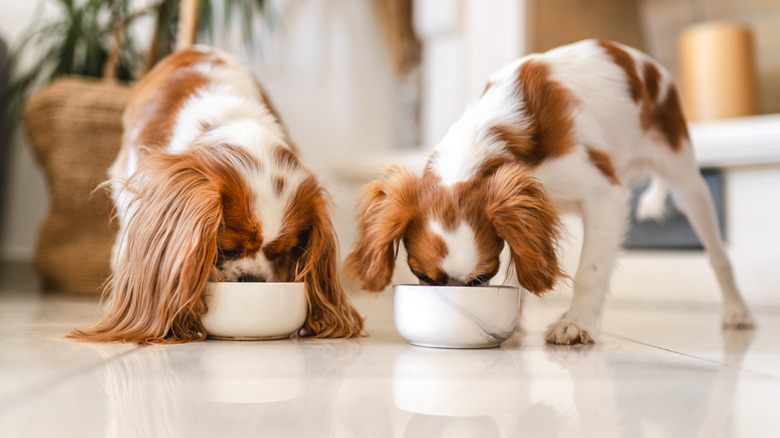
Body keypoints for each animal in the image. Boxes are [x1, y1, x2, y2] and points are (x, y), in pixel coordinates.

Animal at [344, 39, 752, 344]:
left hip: (686, 179)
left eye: (482, 278)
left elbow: (590, 270)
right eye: (426, 279)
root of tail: (650, 66)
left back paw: (737, 311)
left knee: (719, 256)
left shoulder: (605, 195)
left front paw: (577, 323)